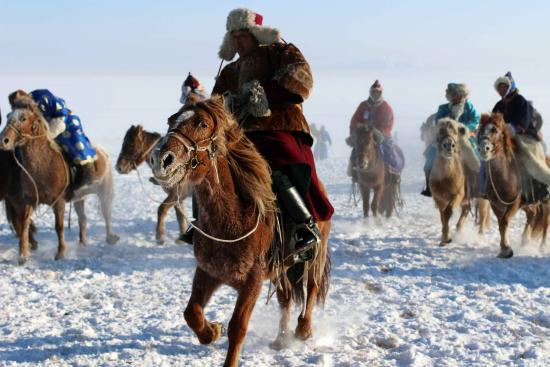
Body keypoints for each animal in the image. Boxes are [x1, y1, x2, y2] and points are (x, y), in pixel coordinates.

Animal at [0, 91, 119, 266]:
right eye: (8, 116)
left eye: (23, 118)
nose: (4, 140)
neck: (43, 165)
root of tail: (102, 152)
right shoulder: (27, 200)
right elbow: (24, 225)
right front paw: (23, 255)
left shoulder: (59, 201)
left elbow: (59, 226)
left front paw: (61, 253)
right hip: (79, 198)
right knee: (83, 219)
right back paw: (82, 244)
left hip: (105, 191)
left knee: (106, 214)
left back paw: (111, 238)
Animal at [151, 96, 332, 366]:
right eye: (171, 120)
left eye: (203, 123)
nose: (161, 160)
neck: (231, 220)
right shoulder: (208, 272)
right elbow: (191, 312)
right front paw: (212, 331)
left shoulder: (251, 281)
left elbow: (238, 327)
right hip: (282, 267)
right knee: (286, 297)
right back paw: (280, 339)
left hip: (315, 254)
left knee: (312, 287)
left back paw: (303, 329)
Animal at [432, 118, 492, 247]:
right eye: (440, 132)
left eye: (455, 132)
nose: (449, 145)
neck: (446, 178)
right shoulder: (439, 199)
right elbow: (442, 217)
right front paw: (444, 239)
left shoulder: (457, 196)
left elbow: (447, 213)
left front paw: (447, 238)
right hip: (466, 201)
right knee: (465, 212)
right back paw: (459, 231)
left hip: (482, 200)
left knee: (483, 217)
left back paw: (479, 237)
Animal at [476, 113, 548, 258]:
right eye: (480, 131)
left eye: (495, 130)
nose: (483, 149)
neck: (505, 176)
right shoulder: (496, 204)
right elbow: (500, 224)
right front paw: (504, 249)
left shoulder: (515, 203)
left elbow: (504, 222)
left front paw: (506, 250)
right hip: (528, 204)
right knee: (532, 215)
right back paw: (524, 241)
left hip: (546, 203)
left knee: (545, 222)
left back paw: (543, 246)